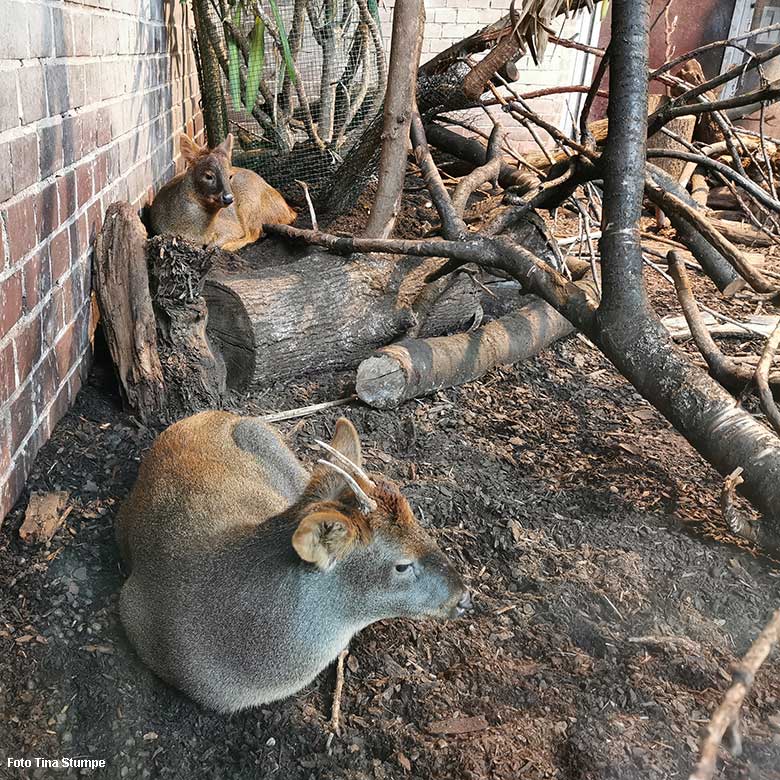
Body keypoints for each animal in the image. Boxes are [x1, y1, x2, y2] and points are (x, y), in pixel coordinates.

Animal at [151, 134, 298, 253]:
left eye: (230, 176)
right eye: (208, 176)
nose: (229, 198)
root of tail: (289, 210)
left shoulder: (232, 227)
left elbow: (217, 243)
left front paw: (218, 246)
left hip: (249, 202)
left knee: (254, 233)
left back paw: (229, 247)